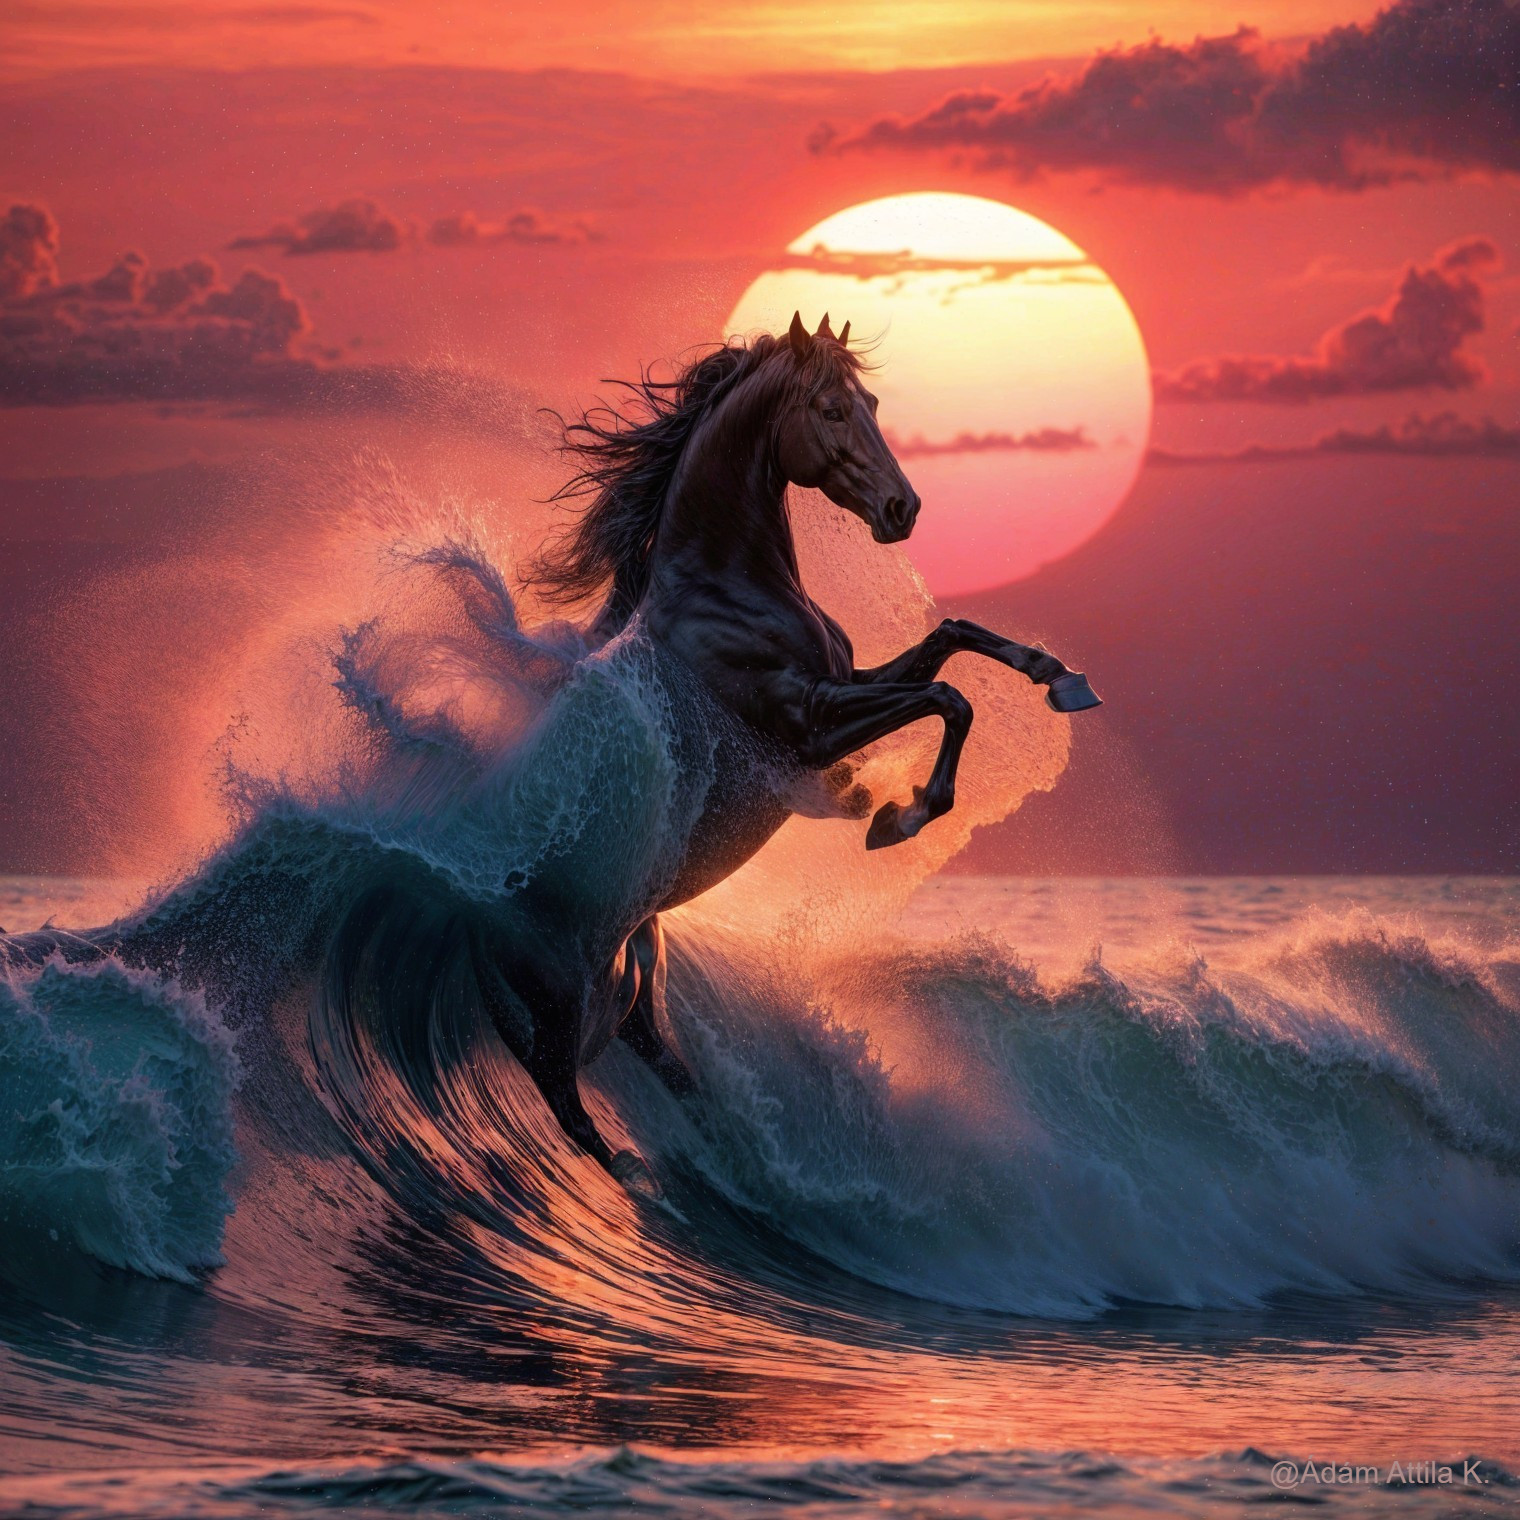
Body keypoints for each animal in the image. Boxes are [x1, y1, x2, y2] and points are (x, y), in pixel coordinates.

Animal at [472, 311, 1101, 1188]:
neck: (729, 586)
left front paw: (1060, 678)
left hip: (638, 964)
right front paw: (901, 816)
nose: (902, 508)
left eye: (873, 402)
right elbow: (950, 699)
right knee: (562, 1091)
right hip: (570, 993)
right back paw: (634, 1172)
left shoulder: (845, 684)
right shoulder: (808, 724)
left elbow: (954, 637)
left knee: (656, 1055)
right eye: (832, 409)